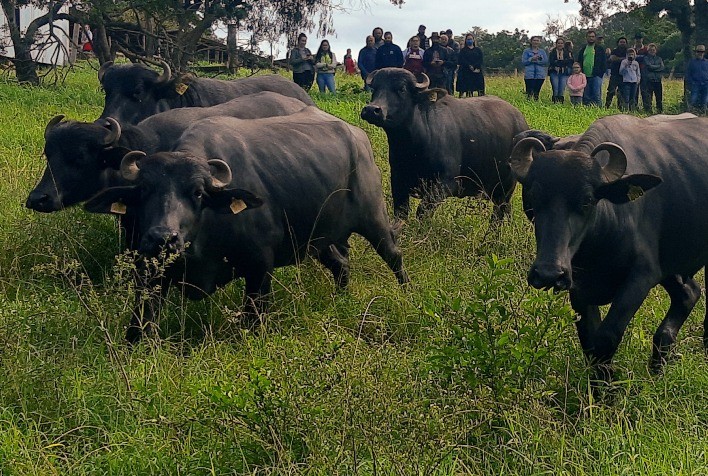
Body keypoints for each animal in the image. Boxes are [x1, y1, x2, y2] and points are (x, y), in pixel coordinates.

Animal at [84, 112, 409, 343]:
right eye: (143, 191)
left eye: (198, 193)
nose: (163, 238)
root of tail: (359, 138)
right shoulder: (150, 274)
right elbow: (139, 325)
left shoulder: (259, 268)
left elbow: (252, 319)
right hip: (319, 238)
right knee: (341, 264)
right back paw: (339, 298)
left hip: (374, 219)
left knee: (394, 255)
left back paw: (407, 294)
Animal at [360, 68, 529, 220]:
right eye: (375, 88)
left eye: (401, 89)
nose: (371, 109)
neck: (412, 148)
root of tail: (521, 122)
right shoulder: (398, 180)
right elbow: (400, 213)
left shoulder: (446, 183)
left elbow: (422, 211)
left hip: (506, 185)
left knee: (499, 212)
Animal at [510, 114, 708, 380]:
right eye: (533, 197)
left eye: (587, 199)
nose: (549, 273)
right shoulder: (579, 286)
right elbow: (589, 341)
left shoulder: (641, 276)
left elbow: (607, 337)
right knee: (689, 294)